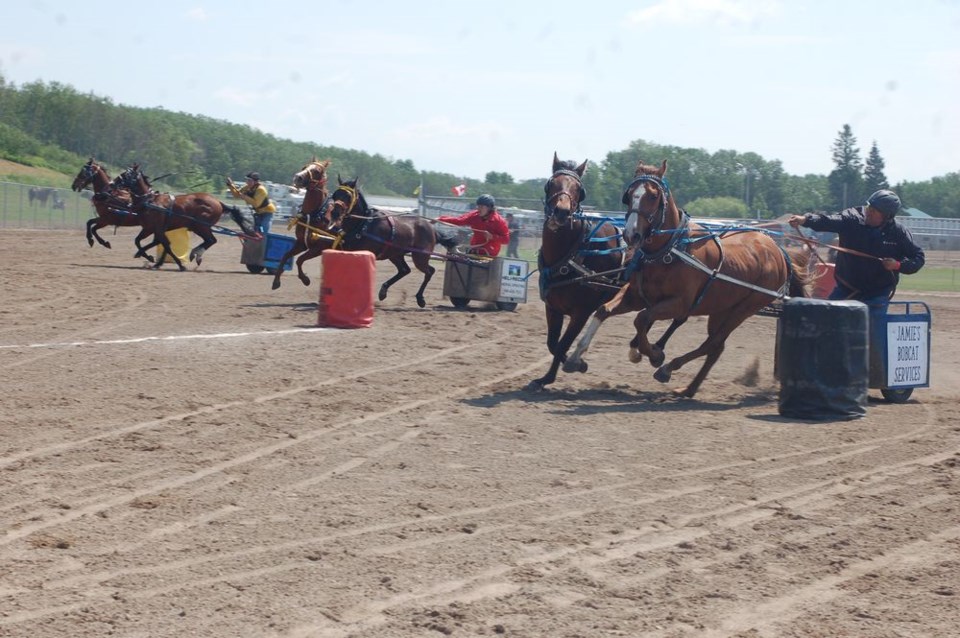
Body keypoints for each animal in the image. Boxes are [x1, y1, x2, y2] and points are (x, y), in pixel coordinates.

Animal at [117, 164, 255, 272]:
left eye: (127, 174)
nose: (114, 183)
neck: (150, 201)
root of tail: (219, 202)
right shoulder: (151, 228)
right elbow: (142, 241)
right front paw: (150, 258)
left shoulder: (155, 229)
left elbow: (165, 245)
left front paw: (179, 265)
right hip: (199, 227)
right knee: (209, 241)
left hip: (201, 226)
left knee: (211, 240)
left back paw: (196, 254)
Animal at [270, 159, 338, 292]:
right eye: (304, 167)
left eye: (317, 171)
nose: (298, 177)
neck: (314, 214)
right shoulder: (302, 243)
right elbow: (285, 256)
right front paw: (276, 282)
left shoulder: (319, 248)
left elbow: (300, 260)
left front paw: (305, 279)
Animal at [324, 176, 456, 308]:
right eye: (335, 194)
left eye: (348, 196)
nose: (335, 213)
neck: (363, 224)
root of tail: (432, 228)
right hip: (395, 254)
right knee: (405, 270)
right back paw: (383, 291)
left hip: (420, 257)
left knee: (429, 271)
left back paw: (420, 298)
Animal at [568, 160, 812, 400]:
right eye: (628, 195)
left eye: (653, 196)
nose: (630, 234)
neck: (670, 249)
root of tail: (780, 252)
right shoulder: (635, 295)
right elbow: (605, 310)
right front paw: (575, 356)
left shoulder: (679, 304)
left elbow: (641, 319)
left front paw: (654, 354)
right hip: (720, 309)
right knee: (716, 348)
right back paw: (689, 388)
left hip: (744, 309)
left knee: (713, 343)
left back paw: (668, 369)